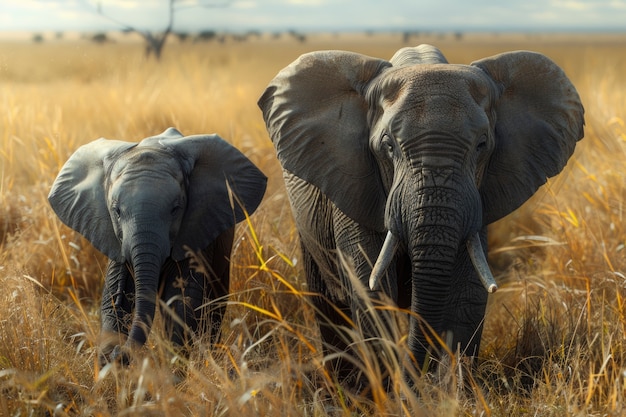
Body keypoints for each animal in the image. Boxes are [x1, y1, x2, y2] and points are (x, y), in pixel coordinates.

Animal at [47, 126, 266, 364]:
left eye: (175, 209)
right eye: (116, 211)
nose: (119, 353)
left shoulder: (194, 231)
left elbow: (183, 302)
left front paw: (175, 369)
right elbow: (113, 298)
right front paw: (107, 366)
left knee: (215, 302)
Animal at [258, 44, 580, 382]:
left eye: (482, 145)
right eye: (388, 146)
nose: (416, 376)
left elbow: (467, 293)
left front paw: (451, 388)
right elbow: (372, 289)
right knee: (329, 304)